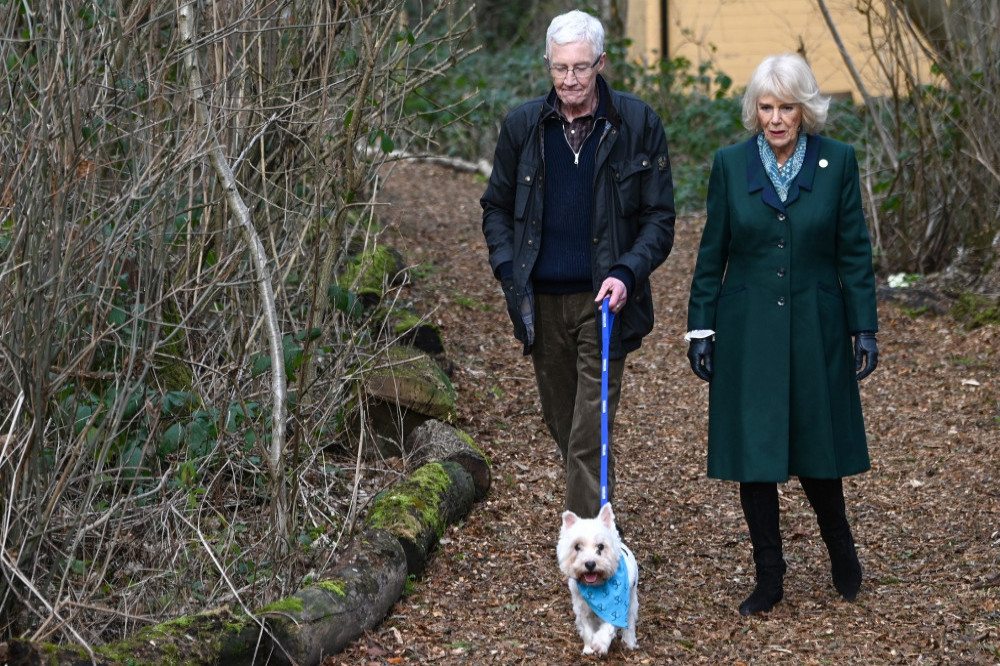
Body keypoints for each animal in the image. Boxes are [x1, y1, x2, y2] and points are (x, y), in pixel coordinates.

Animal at [556, 500, 640, 652]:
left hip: (631, 600)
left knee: (630, 621)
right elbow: (587, 629)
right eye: (577, 547)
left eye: (601, 546)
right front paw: (589, 647)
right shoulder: (582, 608)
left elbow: (610, 623)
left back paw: (629, 642)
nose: (590, 564)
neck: (597, 588)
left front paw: (600, 643)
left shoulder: (617, 606)